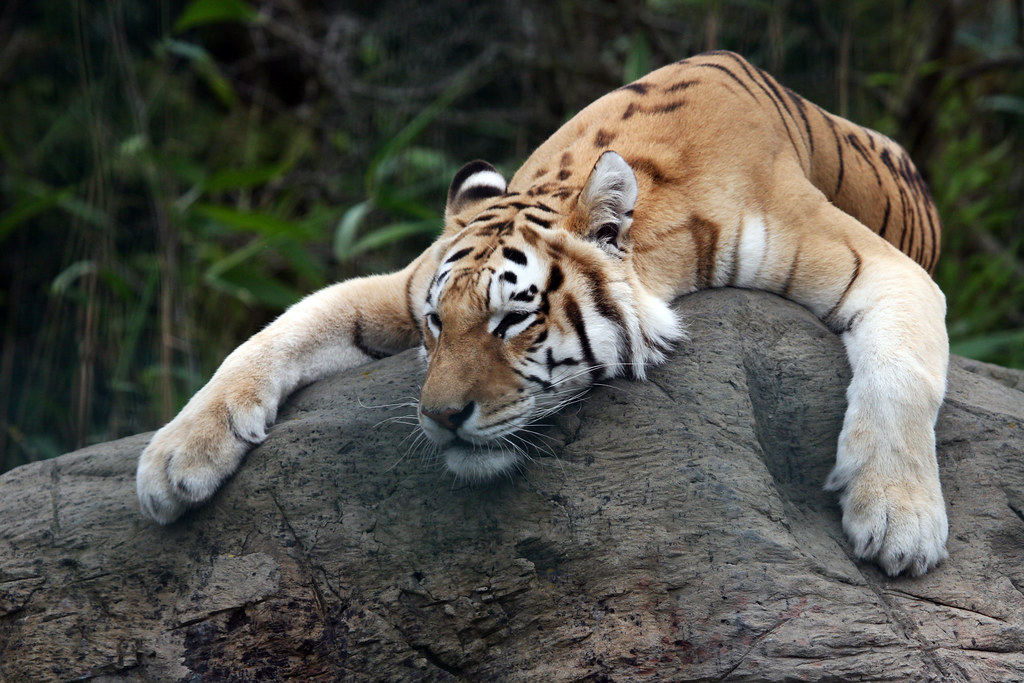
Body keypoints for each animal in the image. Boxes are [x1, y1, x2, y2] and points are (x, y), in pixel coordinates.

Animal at [137, 51, 949, 577]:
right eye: (437, 324)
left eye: (512, 321)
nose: (439, 418)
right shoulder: (400, 285)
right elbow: (272, 333)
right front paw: (172, 461)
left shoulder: (880, 266)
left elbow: (905, 371)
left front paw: (900, 521)